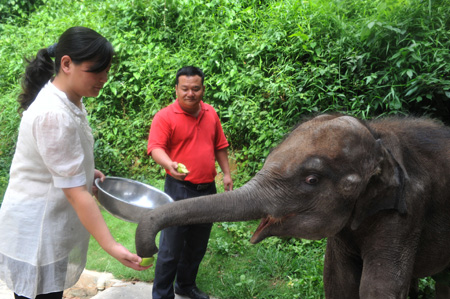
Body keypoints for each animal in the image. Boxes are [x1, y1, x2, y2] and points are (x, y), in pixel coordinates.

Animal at [135, 113, 450, 298]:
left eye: (311, 179)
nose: (149, 249)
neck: (379, 138)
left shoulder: (406, 211)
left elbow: (378, 287)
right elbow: (338, 281)